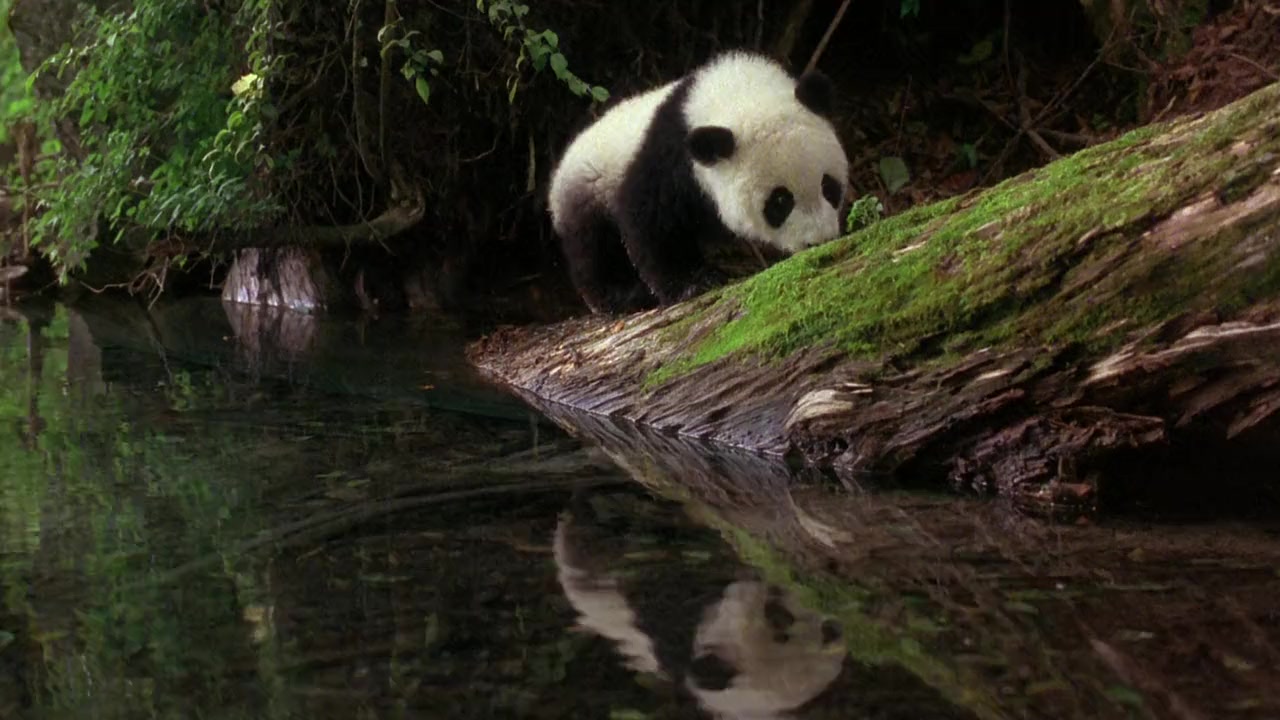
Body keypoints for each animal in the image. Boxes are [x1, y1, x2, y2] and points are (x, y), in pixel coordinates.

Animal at [548, 50, 851, 314]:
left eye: (829, 187)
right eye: (779, 202)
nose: (819, 241)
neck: (735, 93)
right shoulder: (667, 159)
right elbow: (652, 222)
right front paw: (694, 283)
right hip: (589, 189)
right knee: (595, 246)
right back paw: (622, 296)